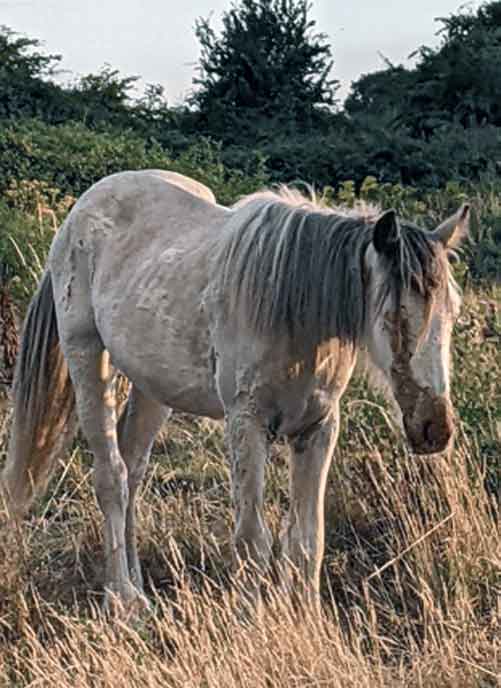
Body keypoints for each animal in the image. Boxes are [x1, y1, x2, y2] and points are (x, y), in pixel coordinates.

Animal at [0, 171, 468, 612]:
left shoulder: (317, 429)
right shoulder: (247, 424)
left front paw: (309, 621)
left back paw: (138, 586)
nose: (436, 427)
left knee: (132, 470)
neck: (293, 311)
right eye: (393, 314)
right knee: (112, 477)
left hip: (153, 389)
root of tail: (82, 208)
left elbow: (307, 540)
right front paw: (251, 618)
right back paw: (123, 599)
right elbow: (251, 539)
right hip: (87, 360)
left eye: (452, 312)